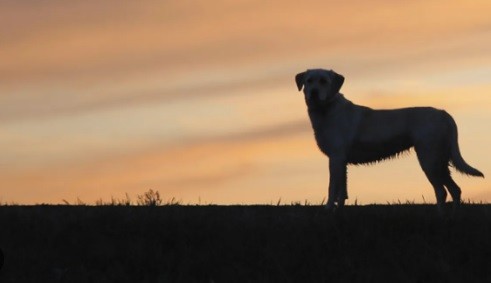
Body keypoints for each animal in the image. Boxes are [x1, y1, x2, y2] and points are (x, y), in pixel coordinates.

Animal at [296, 69, 484, 213]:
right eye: (309, 81)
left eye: (323, 81)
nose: (313, 92)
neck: (326, 109)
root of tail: (444, 113)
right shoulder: (341, 161)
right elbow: (342, 190)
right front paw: (338, 211)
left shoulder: (335, 158)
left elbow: (332, 187)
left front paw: (328, 210)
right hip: (440, 160)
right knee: (455, 189)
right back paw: (454, 215)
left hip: (429, 159)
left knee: (441, 191)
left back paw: (441, 217)